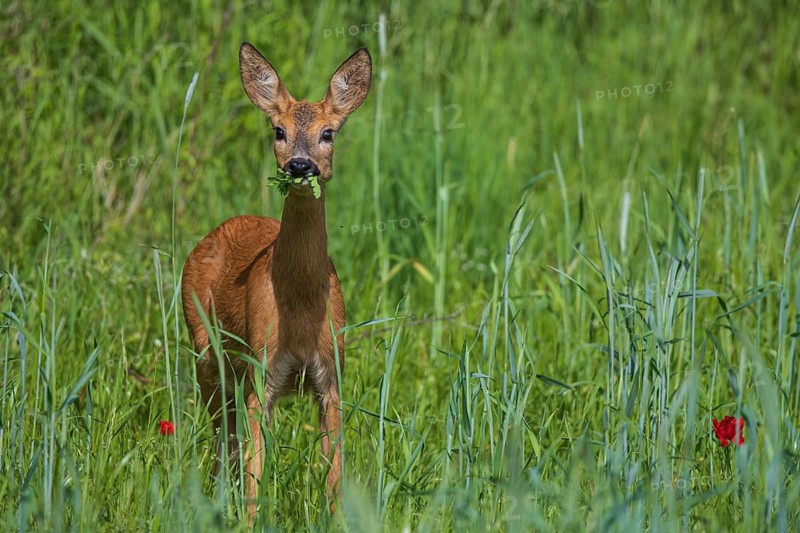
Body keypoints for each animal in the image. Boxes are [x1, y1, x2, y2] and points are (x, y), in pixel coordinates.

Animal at [181, 42, 371, 521]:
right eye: (278, 130)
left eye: (329, 133)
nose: (300, 165)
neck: (300, 309)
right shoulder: (261, 371)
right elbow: (255, 470)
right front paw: (247, 522)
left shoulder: (331, 377)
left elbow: (333, 475)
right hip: (207, 353)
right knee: (223, 440)